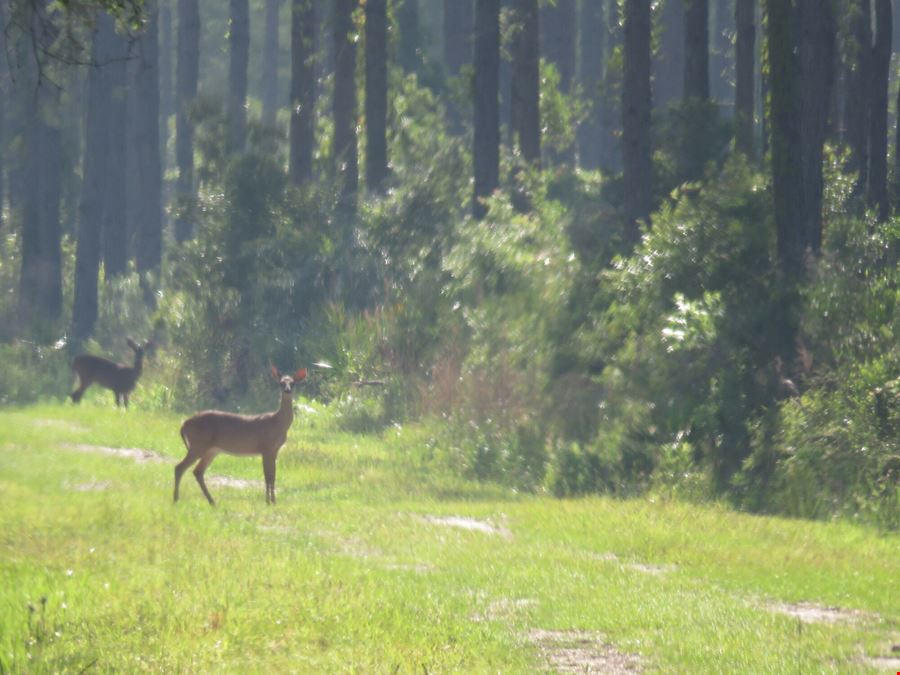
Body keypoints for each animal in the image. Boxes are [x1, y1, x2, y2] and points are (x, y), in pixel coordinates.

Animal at [176, 368, 310, 504]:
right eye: (281, 383)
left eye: (293, 383)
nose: (287, 390)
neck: (278, 423)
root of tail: (184, 424)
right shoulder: (266, 448)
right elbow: (267, 476)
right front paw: (268, 502)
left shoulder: (274, 450)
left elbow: (273, 476)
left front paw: (273, 501)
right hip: (198, 445)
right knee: (180, 467)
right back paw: (176, 499)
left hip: (212, 450)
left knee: (197, 471)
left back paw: (212, 502)